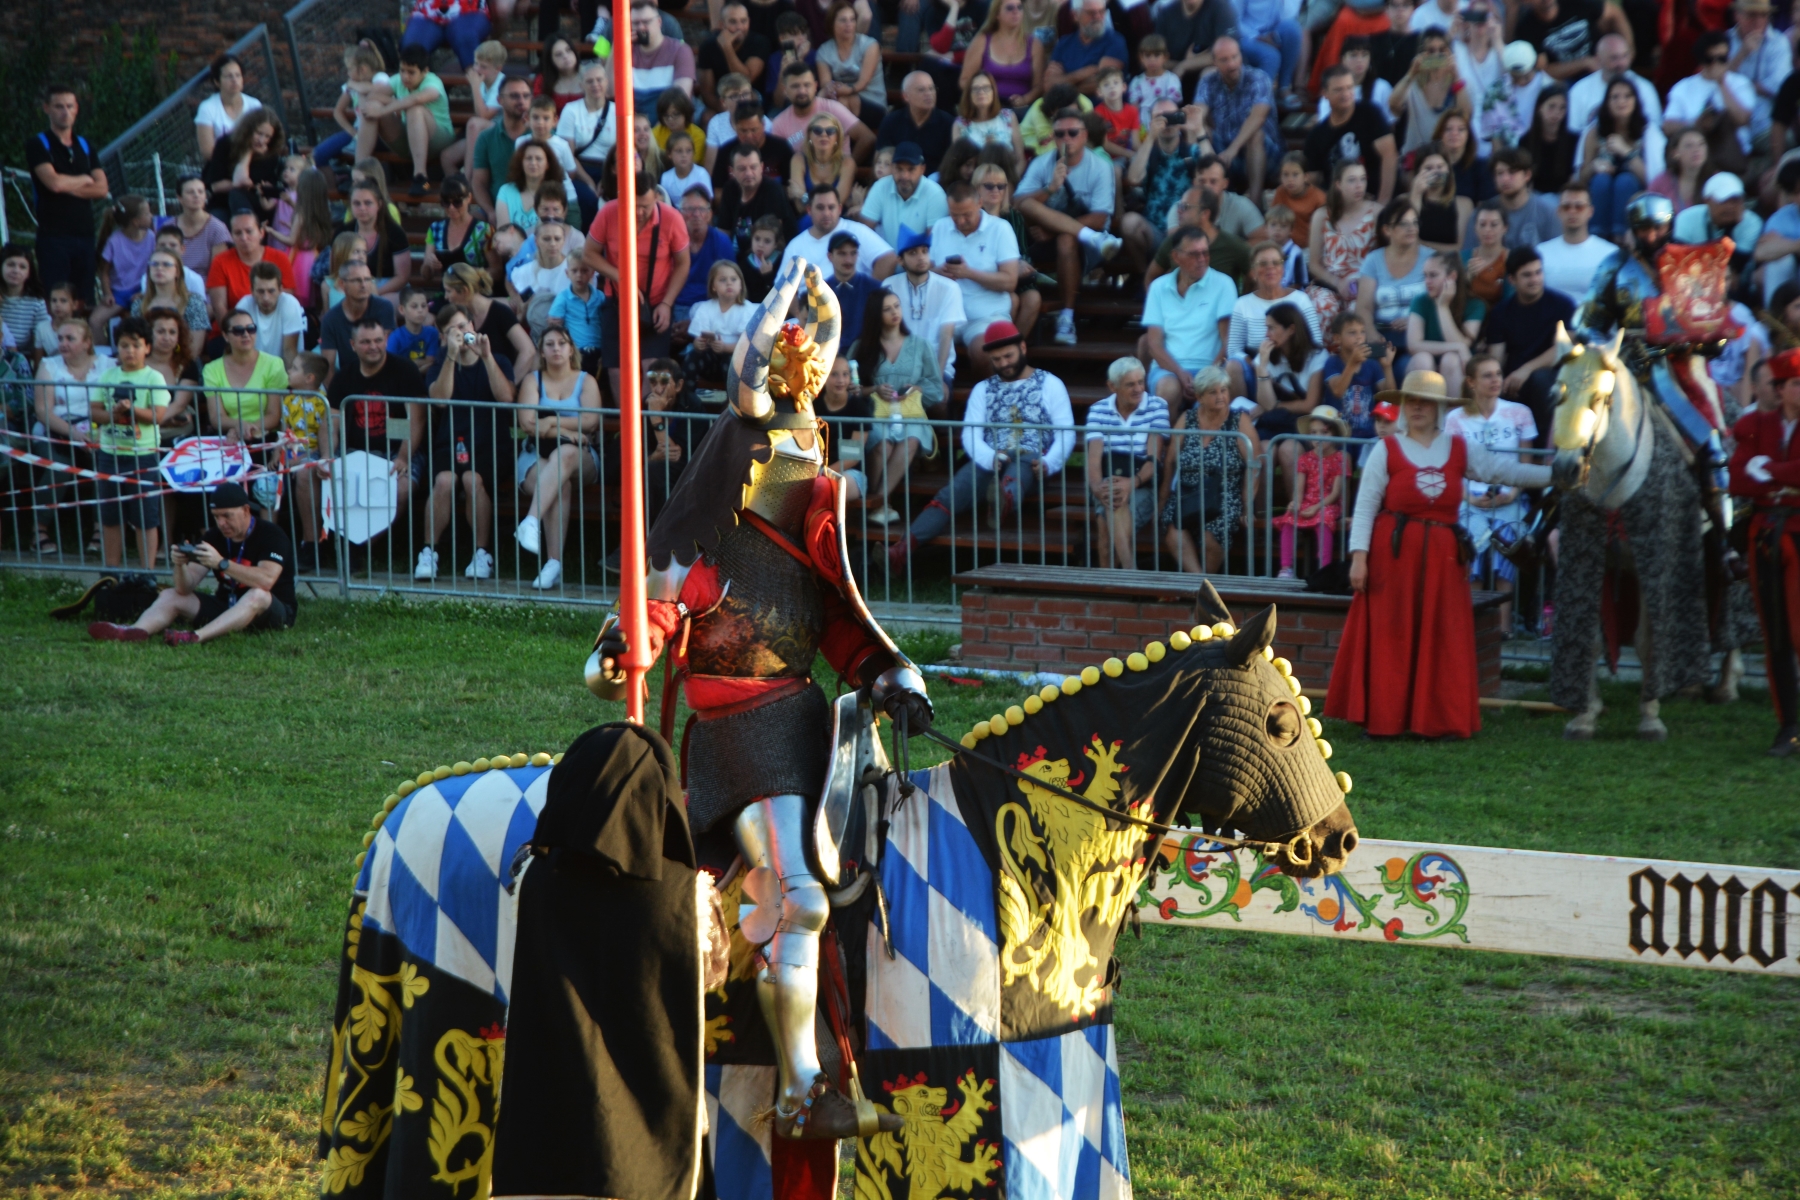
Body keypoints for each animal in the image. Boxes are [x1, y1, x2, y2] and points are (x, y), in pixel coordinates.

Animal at [316, 582, 1353, 1200]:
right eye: (1277, 721)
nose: (1338, 838)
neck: (1013, 856)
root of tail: (402, 812)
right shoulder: (955, 1077)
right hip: (450, 1030)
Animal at [1548, 329, 1713, 741]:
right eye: (1557, 394)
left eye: (1599, 397)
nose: (1565, 469)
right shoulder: (1595, 558)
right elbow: (1591, 638)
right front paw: (1584, 716)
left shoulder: (1650, 560)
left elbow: (1646, 639)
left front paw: (1650, 716)